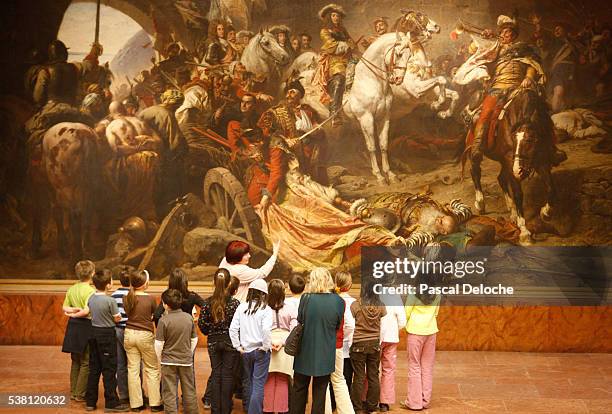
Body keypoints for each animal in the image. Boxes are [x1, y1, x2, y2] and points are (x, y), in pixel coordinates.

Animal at [466, 91, 556, 244]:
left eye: (531, 140)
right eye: (514, 139)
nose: (518, 171)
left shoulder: (541, 160)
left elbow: (550, 186)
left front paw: (546, 212)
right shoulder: (510, 161)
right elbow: (518, 194)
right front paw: (524, 232)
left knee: (501, 178)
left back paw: (511, 210)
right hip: (478, 151)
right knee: (475, 171)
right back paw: (480, 203)